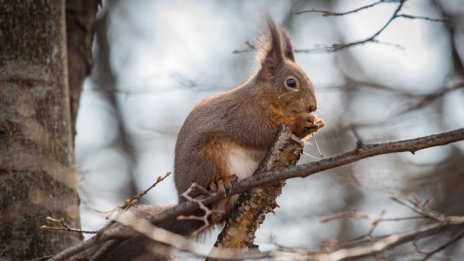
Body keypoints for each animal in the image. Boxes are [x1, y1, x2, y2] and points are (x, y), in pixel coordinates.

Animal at [96, 16, 324, 260]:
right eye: (291, 83)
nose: (313, 106)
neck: (264, 95)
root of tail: (185, 204)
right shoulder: (246, 114)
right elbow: (260, 132)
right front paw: (301, 123)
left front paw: (314, 124)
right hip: (207, 158)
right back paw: (219, 185)